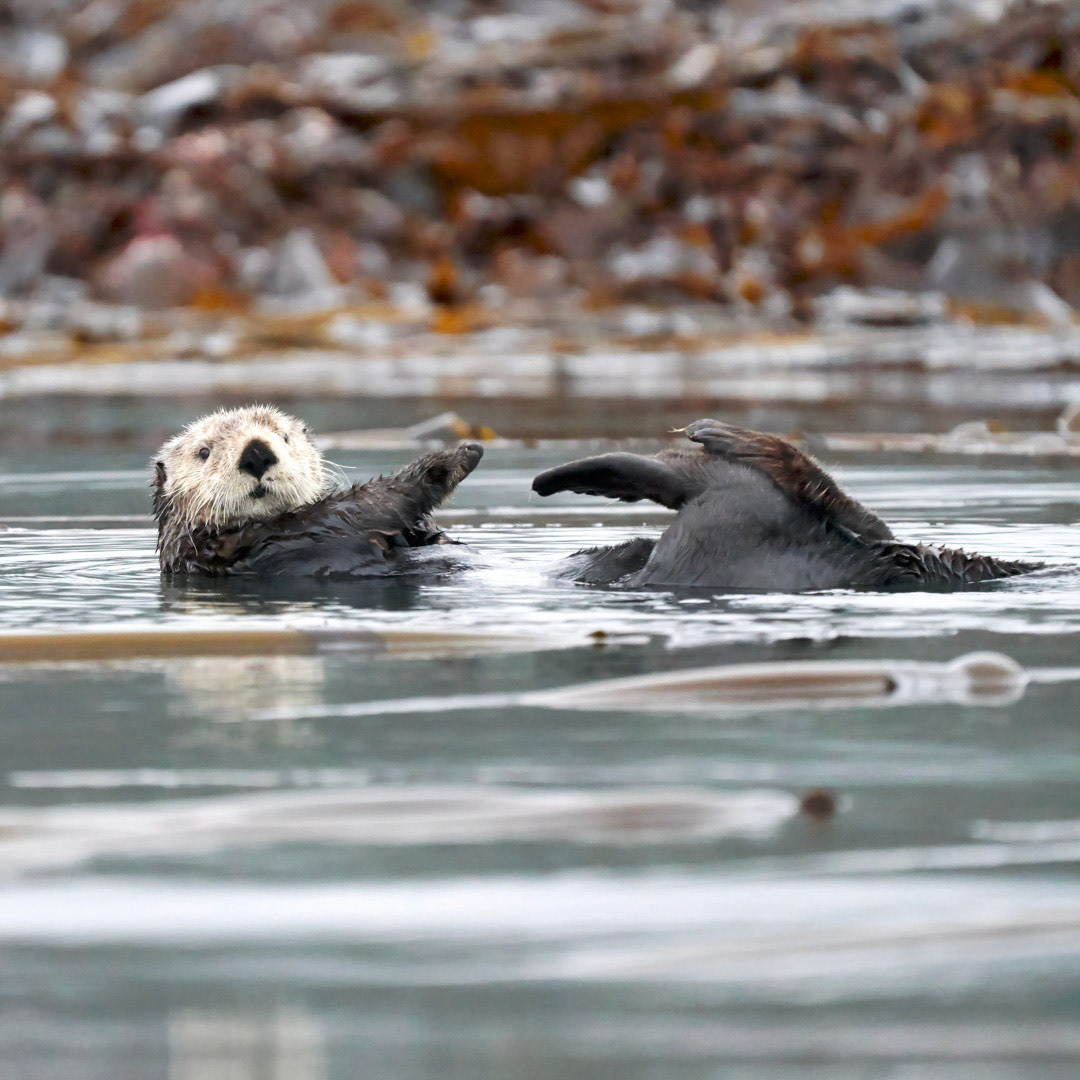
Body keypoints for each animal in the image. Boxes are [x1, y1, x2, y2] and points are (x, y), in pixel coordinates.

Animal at [153, 405, 483, 576]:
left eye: (284, 437)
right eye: (204, 452)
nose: (256, 453)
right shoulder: (312, 528)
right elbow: (367, 504)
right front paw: (452, 460)